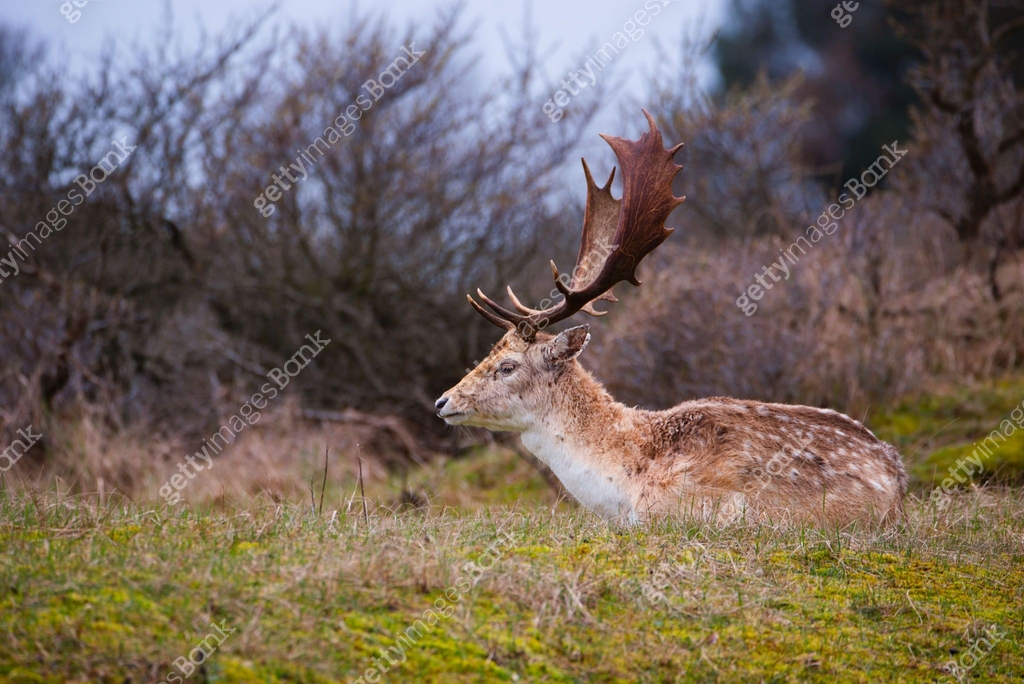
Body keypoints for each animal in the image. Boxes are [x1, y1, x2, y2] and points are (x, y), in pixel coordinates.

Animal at [435, 111, 907, 526]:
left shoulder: (684, 508)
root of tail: (900, 481)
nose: (442, 401)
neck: (626, 481)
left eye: (507, 366)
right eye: (490, 352)